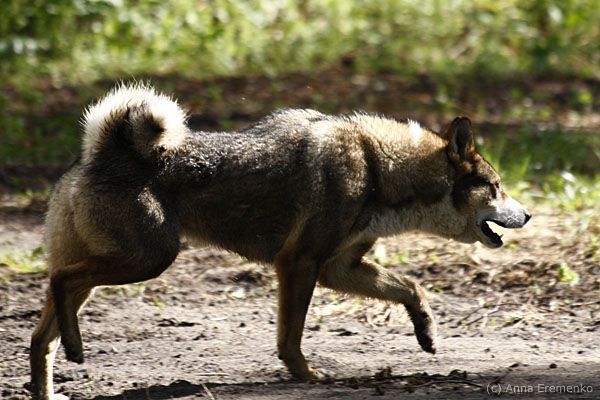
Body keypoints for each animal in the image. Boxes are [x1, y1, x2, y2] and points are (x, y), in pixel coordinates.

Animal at [30, 83, 530, 399]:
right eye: (496, 187)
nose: (527, 214)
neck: (376, 167)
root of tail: (100, 151)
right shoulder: (299, 263)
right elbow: (291, 339)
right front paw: (307, 376)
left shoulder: (337, 268)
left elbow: (413, 289)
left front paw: (426, 331)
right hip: (148, 260)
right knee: (60, 280)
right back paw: (75, 349)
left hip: (115, 270)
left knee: (42, 334)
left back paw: (48, 385)